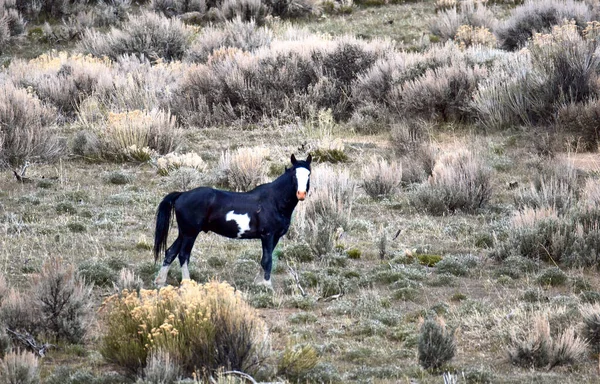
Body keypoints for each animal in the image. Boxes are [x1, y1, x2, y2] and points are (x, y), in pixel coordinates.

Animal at [152, 154, 312, 286]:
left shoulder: (275, 237)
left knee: (170, 252)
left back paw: (160, 282)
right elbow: (267, 260)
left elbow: (264, 259)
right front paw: (267, 286)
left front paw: (258, 283)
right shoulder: (268, 235)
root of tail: (182, 194)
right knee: (183, 255)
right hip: (190, 234)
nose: (301, 194)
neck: (274, 201)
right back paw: (187, 284)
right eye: (294, 175)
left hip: (183, 233)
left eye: (309, 174)